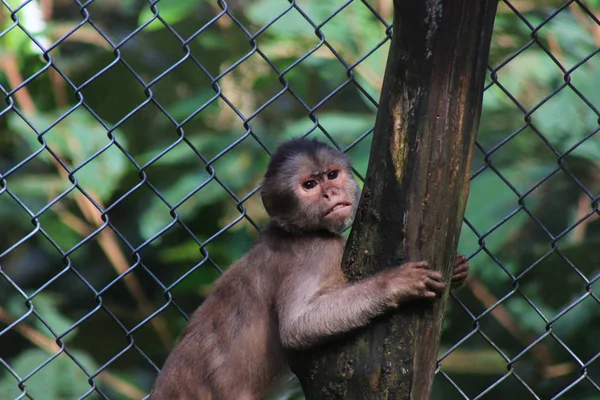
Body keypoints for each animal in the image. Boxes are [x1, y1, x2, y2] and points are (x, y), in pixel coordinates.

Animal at [150, 138, 468, 400]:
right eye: (310, 186)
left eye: (331, 175)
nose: (331, 193)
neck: (295, 231)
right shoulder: (319, 251)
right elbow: (296, 327)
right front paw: (393, 284)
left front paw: (457, 269)